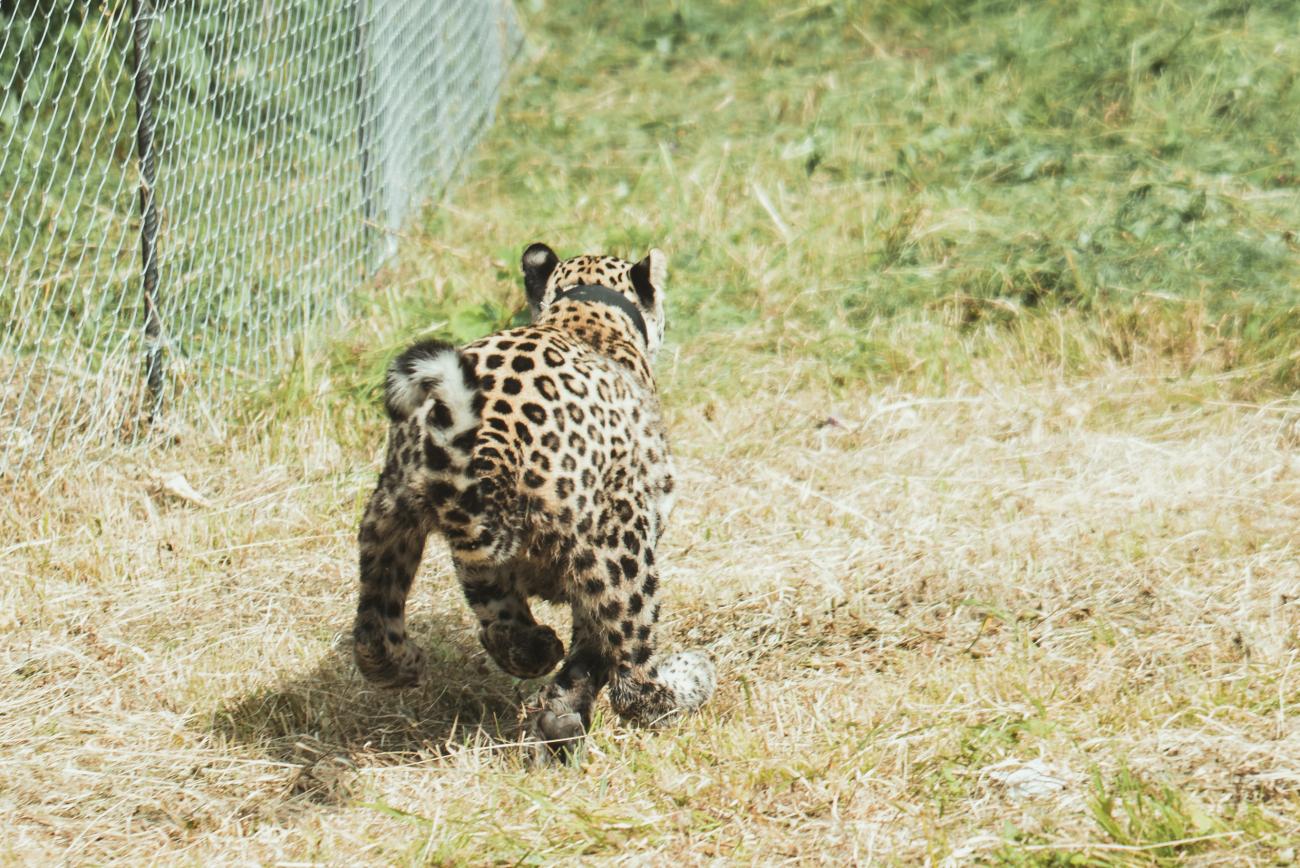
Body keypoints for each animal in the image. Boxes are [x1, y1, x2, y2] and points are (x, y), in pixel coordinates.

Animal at [351, 242, 717, 758]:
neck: (586, 308)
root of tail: (493, 436)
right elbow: (593, 650)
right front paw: (562, 708)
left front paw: (553, 699)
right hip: (618, 546)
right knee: (634, 682)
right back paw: (687, 682)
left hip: (392, 511)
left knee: (373, 628)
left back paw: (411, 663)